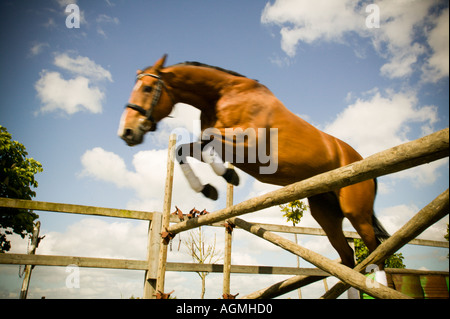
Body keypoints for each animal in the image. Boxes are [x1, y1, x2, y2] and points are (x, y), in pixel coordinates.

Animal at [118, 55, 390, 292]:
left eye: (147, 88)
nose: (127, 132)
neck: (221, 95)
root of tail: (359, 159)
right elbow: (184, 149)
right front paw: (208, 188)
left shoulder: (251, 145)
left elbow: (210, 142)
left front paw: (228, 177)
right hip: (327, 214)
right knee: (348, 256)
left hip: (357, 213)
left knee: (377, 253)